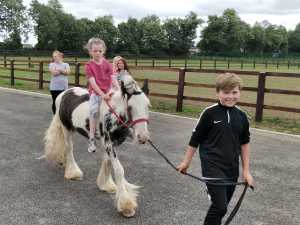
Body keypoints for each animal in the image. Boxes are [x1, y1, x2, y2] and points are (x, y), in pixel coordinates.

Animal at [43, 74, 151, 217]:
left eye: (147, 106)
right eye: (130, 107)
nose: (143, 137)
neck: (113, 114)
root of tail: (63, 94)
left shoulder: (111, 144)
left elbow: (107, 162)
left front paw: (106, 185)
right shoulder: (109, 143)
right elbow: (119, 170)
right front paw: (126, 205)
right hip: (66, 129)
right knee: (69, 148)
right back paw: (73, 173)